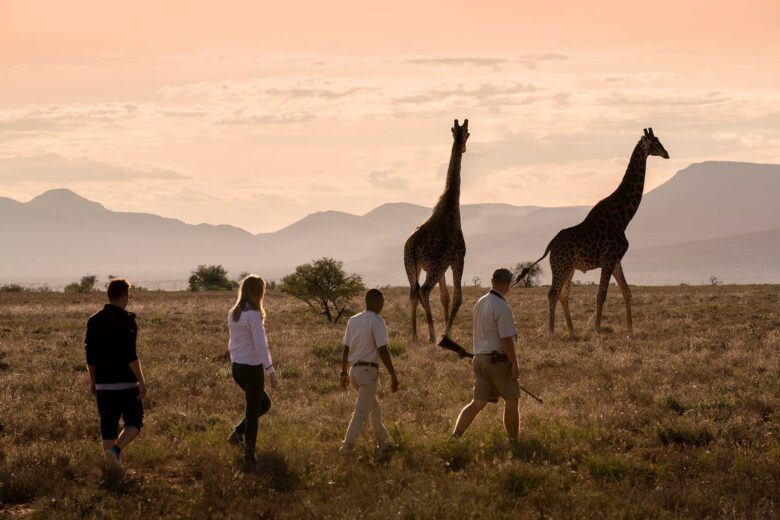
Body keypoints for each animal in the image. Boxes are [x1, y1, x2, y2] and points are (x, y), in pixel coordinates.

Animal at [404, 119, 469, 344]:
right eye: (468, 133)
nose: (463, 147)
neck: (450, 203)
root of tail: (412, 246)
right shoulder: (457, 257)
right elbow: (457, 297)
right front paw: (446, 333)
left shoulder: (444, 264)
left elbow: (445, 297)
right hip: (434, 266)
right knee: (423, 290)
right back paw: (431, 335)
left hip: (412, 266)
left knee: (413, 292)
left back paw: (415, 335)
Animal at [515, 128, 669, 338]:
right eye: (654, 143)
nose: (666, 154)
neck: (623, 218)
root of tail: (550, 245)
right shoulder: (608, 258)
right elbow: (601, 294)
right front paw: (597, 329)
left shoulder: (616, 260)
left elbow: (626, 292)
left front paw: (630, 332)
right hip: (561, 266)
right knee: (553, 293)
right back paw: (552, 333)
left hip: (569, 267)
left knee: (564, 295)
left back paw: (572, 332)